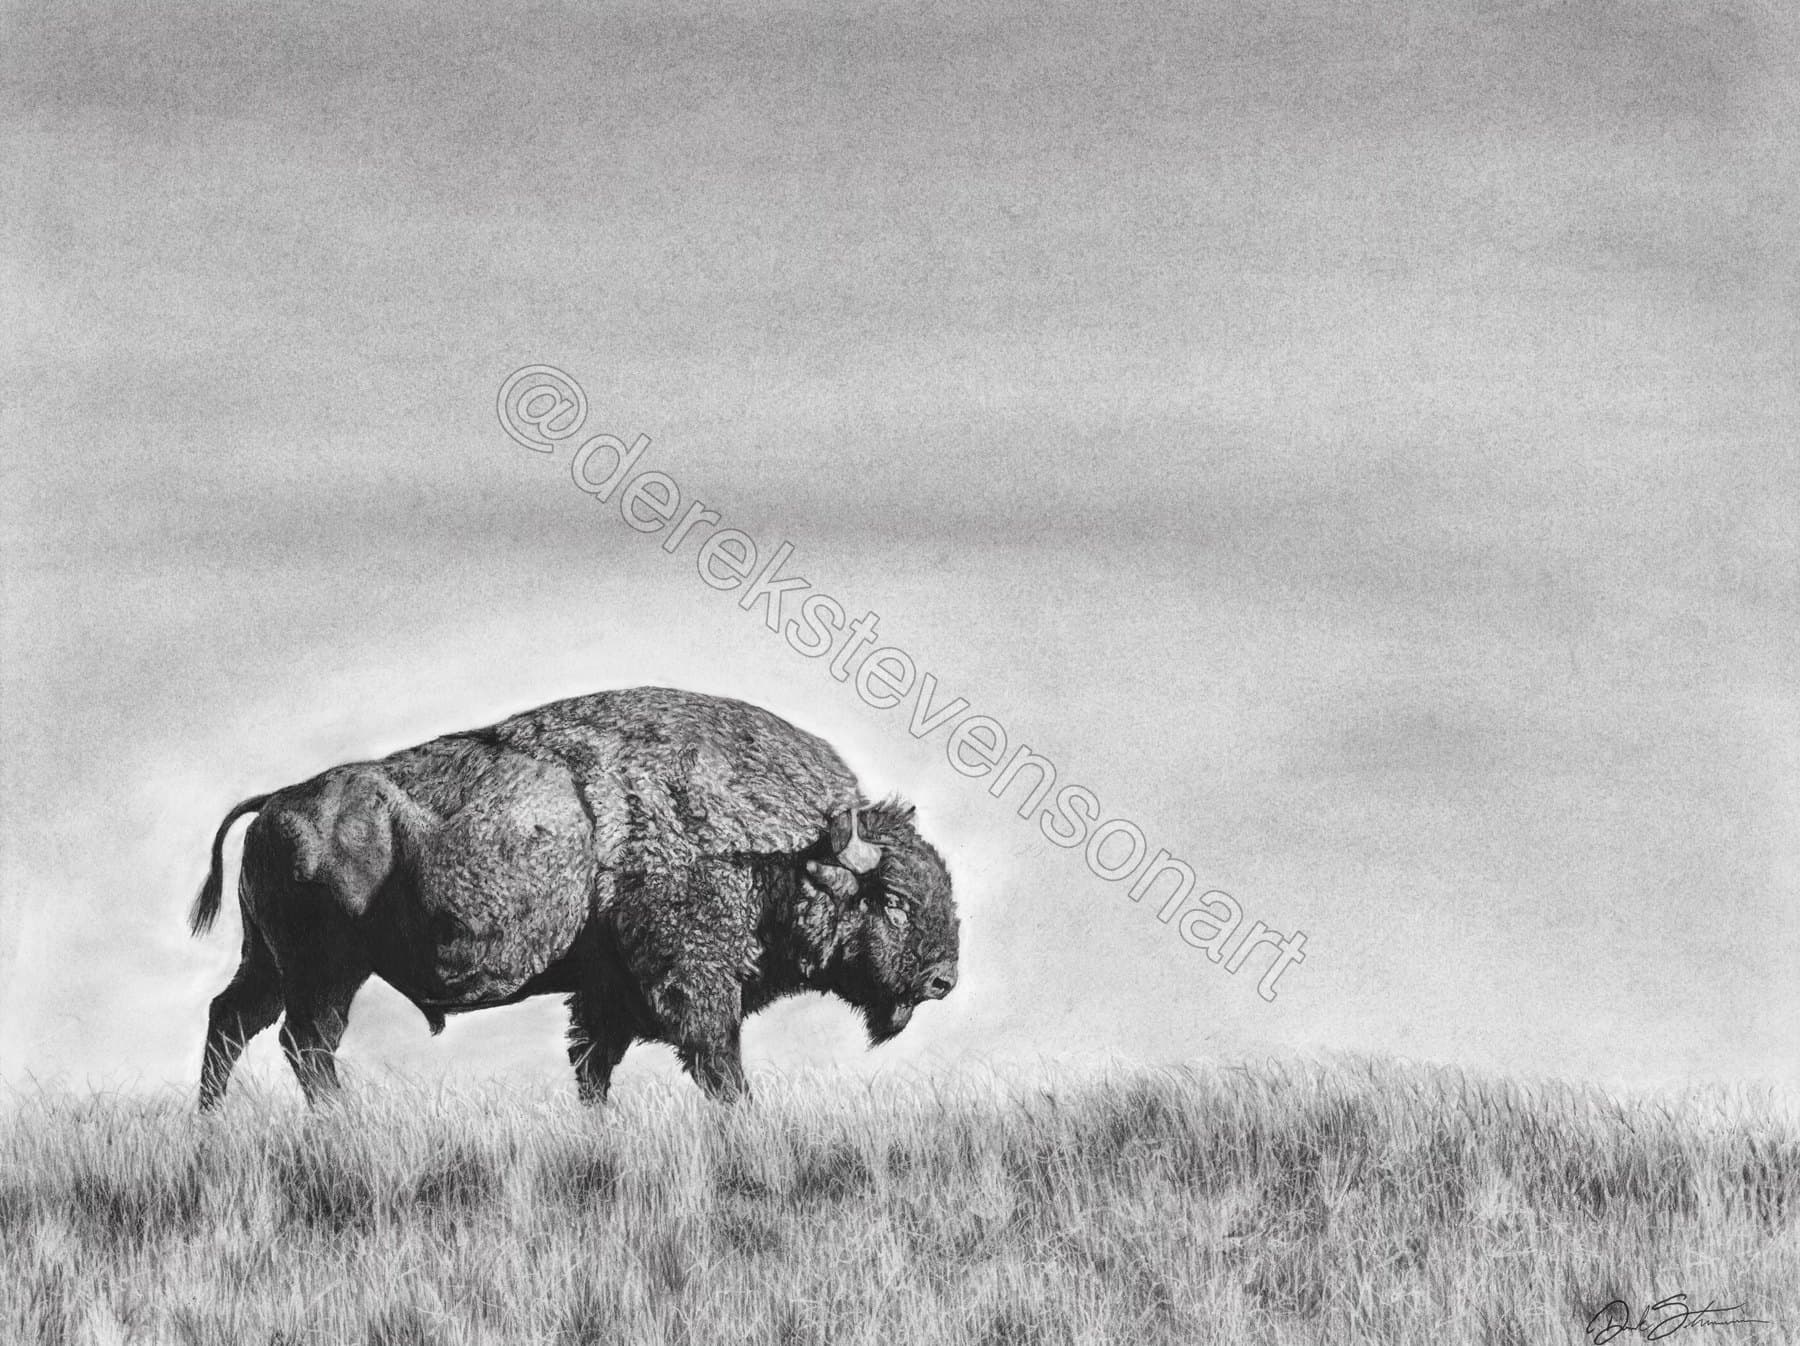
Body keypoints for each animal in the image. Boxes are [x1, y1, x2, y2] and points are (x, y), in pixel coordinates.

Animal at [190, 686, 960, 1108]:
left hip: (269, 963)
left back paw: (211, 1127)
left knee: (232, 1021)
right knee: (306, 1043)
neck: (786, 850)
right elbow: (720, 1070)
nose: (943, 980)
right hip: (326, 970)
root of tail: (279, 802)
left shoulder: (605, 996)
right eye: (893, 899)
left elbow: (593, 1069)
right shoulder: (695, 988)